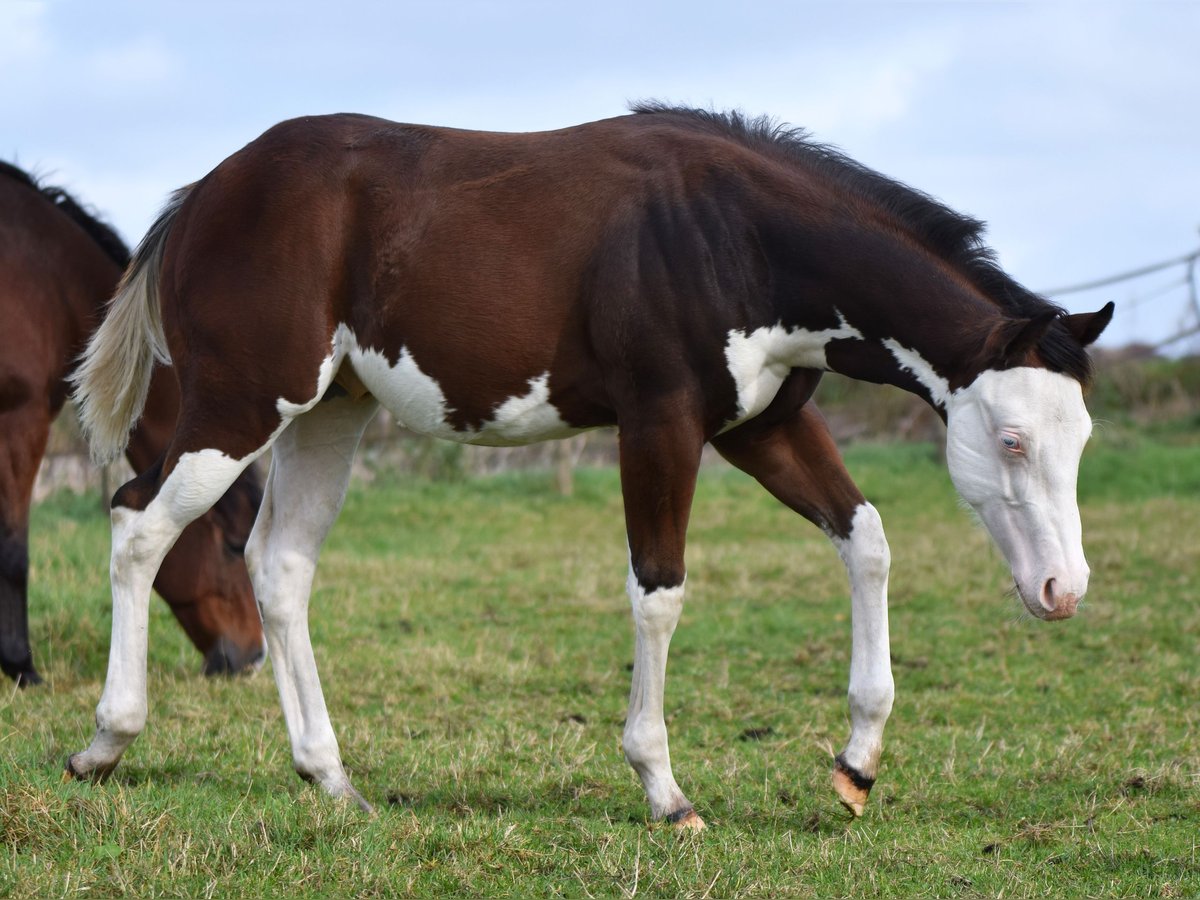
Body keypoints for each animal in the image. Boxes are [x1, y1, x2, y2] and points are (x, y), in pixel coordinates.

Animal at [0, 162, 265, 685]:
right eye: (232, 544)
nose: (253, 657)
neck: (45, 276)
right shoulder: (21, 419)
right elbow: (14, 550)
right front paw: (20, 665)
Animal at [64, 105, 1113, 825]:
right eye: (1012, 441)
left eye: (1082, 440)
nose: (1063, 591)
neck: (733, 236)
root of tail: (203, 193)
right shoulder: (660, 426)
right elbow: (659, 590)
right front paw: (664, 789)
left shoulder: (763, 430)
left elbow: (869, 542)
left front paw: (856, 763)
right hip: (238, 409)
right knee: (137, 523)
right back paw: (105, 744)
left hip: (327, 416)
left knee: (279, 569)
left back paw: (332, 781)